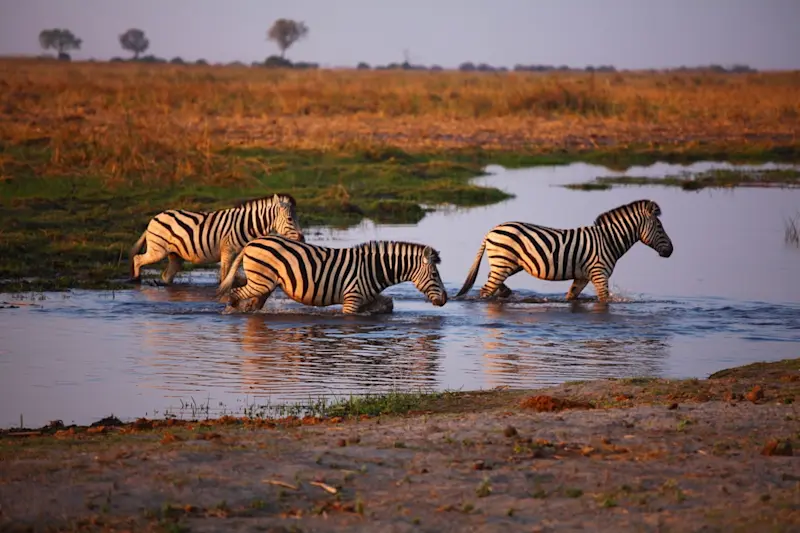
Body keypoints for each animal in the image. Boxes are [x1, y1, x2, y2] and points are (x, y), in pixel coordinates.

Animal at [129, 193, 304, 285]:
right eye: (290, 219)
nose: (302, 238)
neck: (245, 225)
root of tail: (154, 218)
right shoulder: (227, 251)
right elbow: (224, 277)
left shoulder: (237, 254)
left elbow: (235, 276)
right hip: (157, 250)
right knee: (138, 259)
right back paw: (136, 279)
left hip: (175, 256)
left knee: (167, 275)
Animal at [216, 235, 448, 314]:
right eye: (434, 274)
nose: (445, 300)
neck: (374, 269)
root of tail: (252, 243)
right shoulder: (352, 298)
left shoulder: (364, 299)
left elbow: (386, 304)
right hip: (261, 281)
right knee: (235, 293)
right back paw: (232, 311)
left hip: (266, 283)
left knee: (252, 302)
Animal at [454, 199, 673, 303]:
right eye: (660, 227)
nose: (671, 251)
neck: (609, 240)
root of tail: (491, 230)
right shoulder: (599, 273)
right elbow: (605, 300)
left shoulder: (583, 276)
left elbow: (571, 296)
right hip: (503, 262)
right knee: (485, 291)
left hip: (508, 264)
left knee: (491, 283)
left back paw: (506, 293)